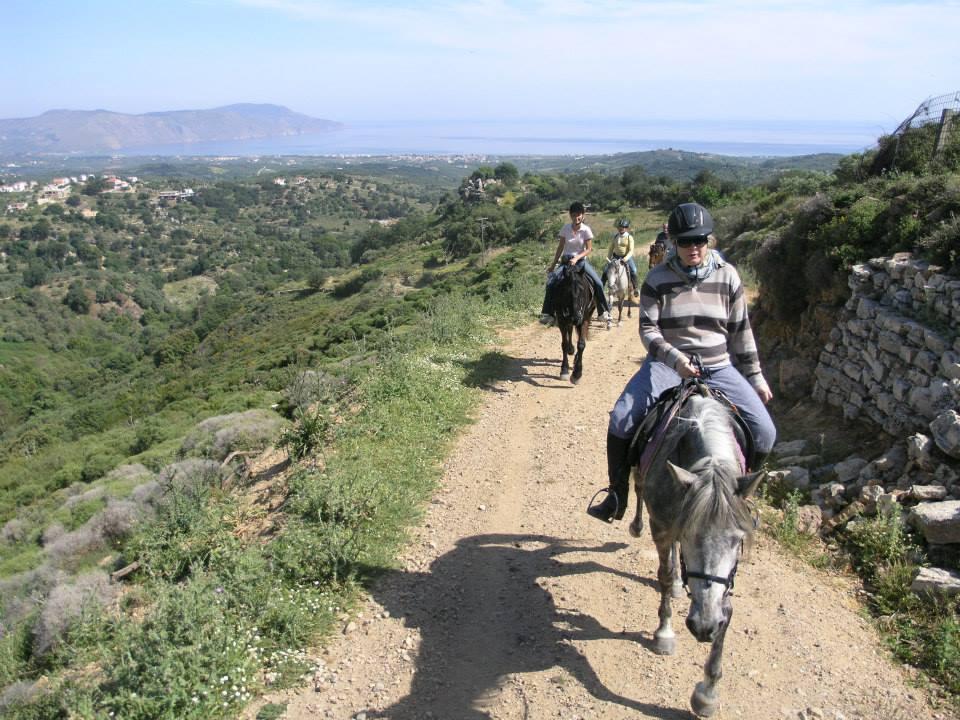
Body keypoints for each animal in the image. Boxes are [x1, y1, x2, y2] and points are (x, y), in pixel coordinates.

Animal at [632, 386, 764, 716]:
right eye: (690, 533)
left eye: (737, 540)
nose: (703, 626)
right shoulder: (663, 528)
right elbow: (665, 576)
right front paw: (664, 633)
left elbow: (726, 610)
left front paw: (707, 692)